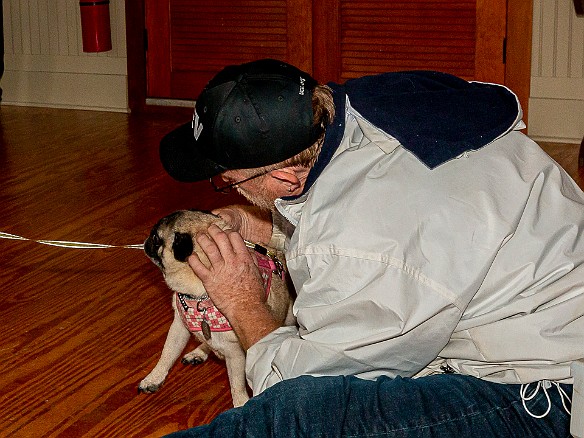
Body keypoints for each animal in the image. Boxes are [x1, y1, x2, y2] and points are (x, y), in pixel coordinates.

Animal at [139, 210, 294, 408]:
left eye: (156, 239)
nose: (146, 241)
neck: (198, 296)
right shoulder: (179, 327)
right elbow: (167, 353)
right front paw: (155, 377)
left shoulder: (236, 354)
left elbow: (236, 384)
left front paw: (240, 403)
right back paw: (198, 352)